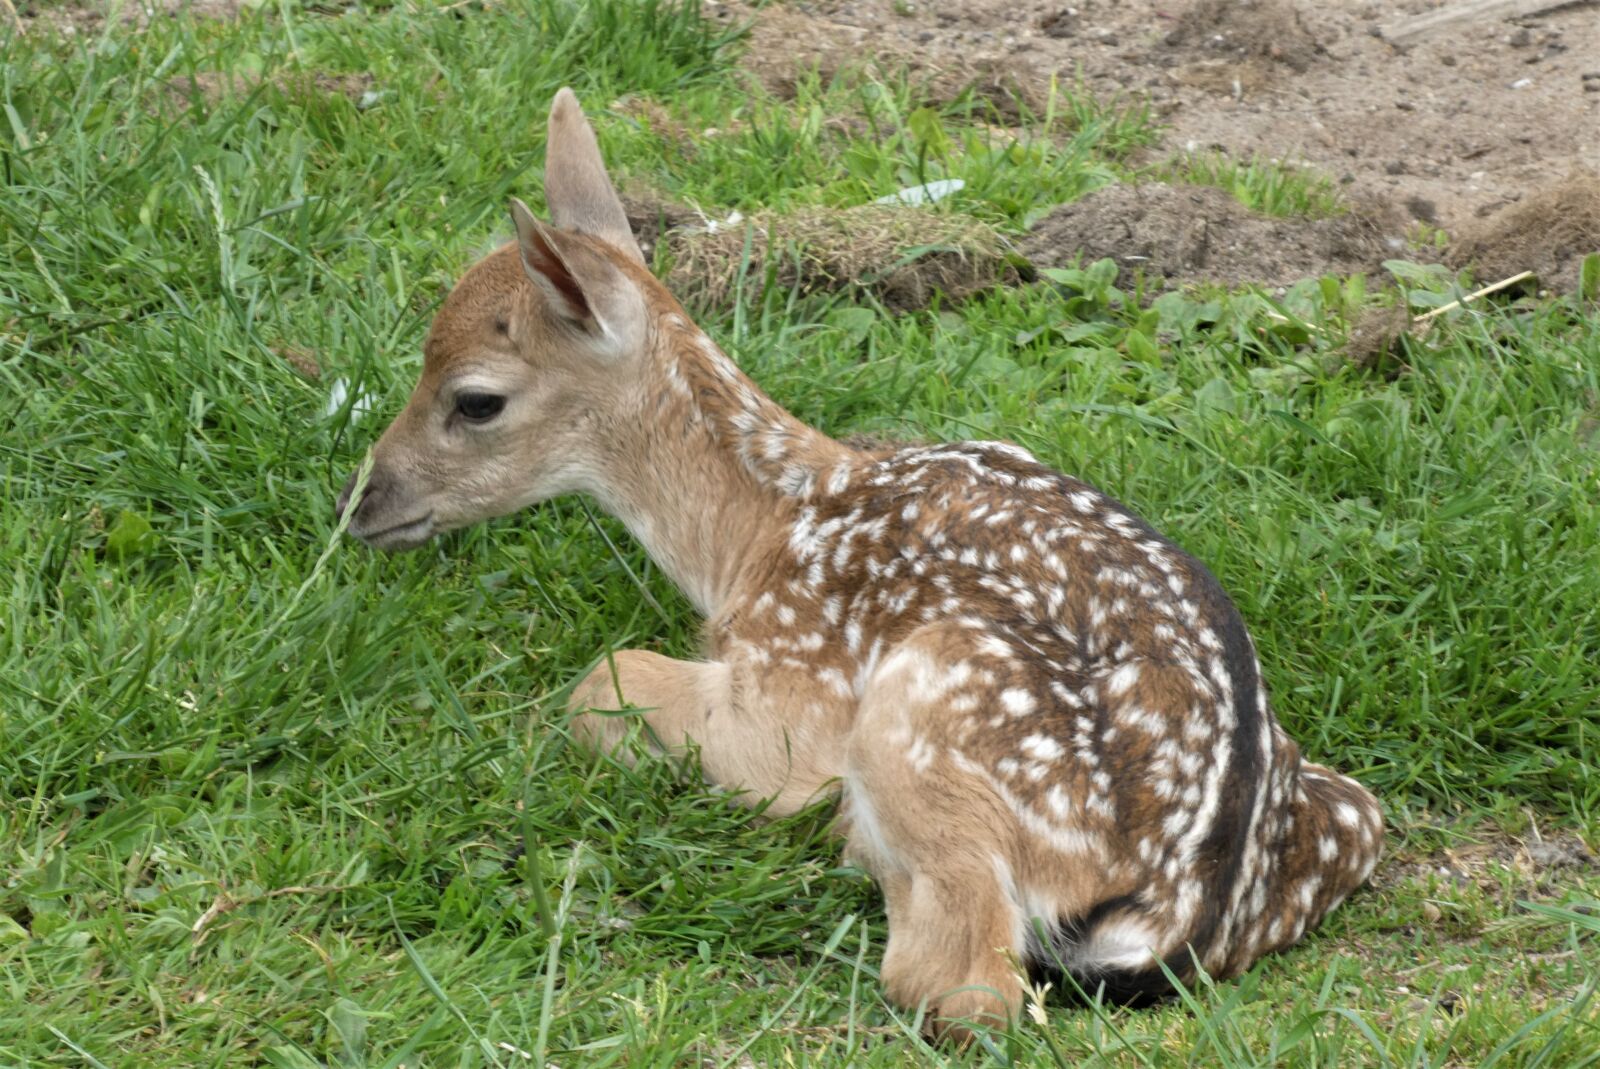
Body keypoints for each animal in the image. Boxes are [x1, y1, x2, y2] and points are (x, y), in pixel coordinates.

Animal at [336, 88, 1385, 1041]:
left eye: (475, 399)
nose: (363, 503)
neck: (757, 536)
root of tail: (1175, 911)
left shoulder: (786, 694)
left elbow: (601, 677)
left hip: (930, 694)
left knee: (965, 989)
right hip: (1351, 810)